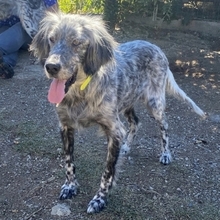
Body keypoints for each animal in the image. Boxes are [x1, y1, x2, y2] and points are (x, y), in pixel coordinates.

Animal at [29, 11, 205, 213]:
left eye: (76, 42)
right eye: (51, 39)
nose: (51, 67)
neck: (81, 92)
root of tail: (155, 47)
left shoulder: (114, 130)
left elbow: (108, 172)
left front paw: (99, 199)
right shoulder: (65, 126)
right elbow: (68, 162)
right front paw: (70, 186)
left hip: (155, 103)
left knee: (165, 127)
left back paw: (166, 154)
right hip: (127, 101)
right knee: (135, 121)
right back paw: (126, 147)